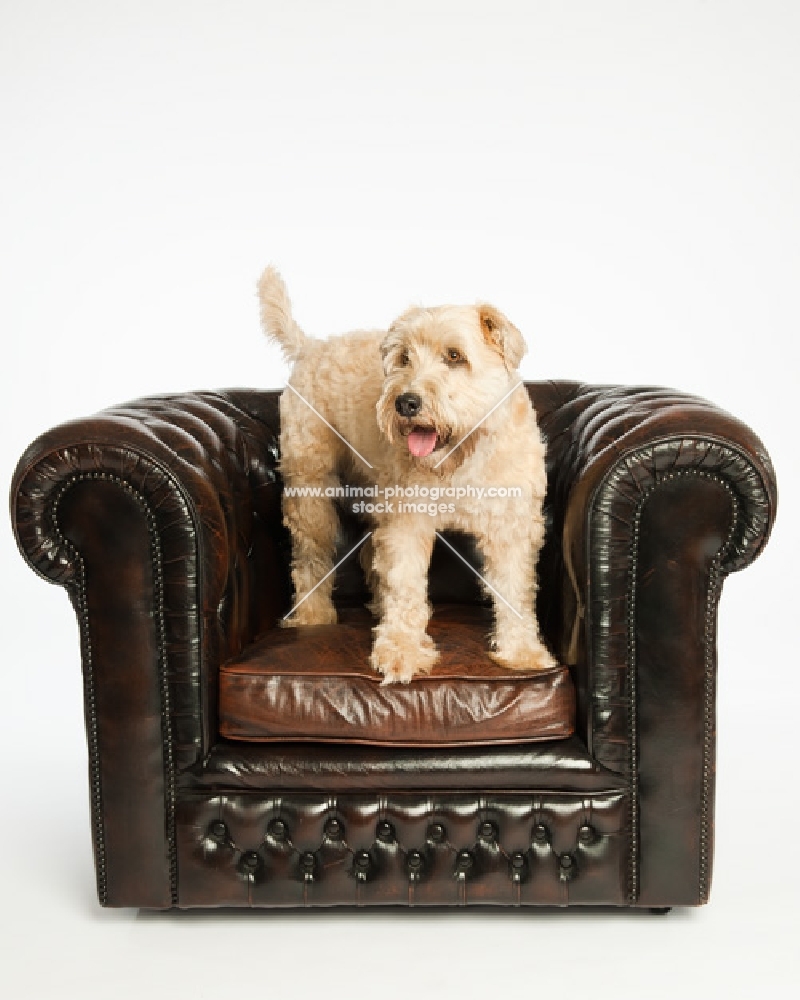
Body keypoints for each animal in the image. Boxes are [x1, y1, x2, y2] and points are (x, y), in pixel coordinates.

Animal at [258, 266, 556, 684]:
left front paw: (521, 652)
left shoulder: (510, 528)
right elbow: (404, 584)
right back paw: (314, 614)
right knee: (310, 557)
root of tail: (311, 346)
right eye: (403, 358)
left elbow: (515, 591)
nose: (405, 403)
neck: (459, 459)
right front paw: (401, 650)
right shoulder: (406, 523)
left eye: (455, 356)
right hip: (310, 492)